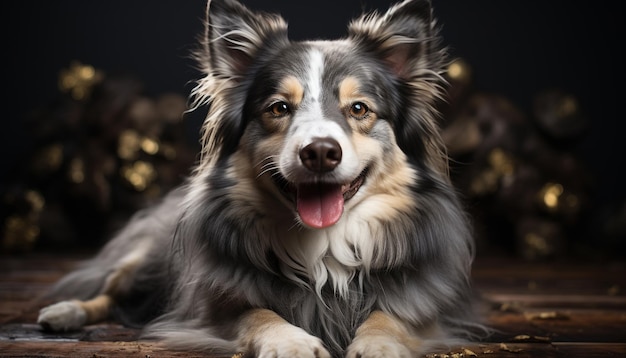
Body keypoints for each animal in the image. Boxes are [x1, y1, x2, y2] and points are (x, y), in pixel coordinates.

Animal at [36, 0, 482, 356]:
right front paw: (293, 343)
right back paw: (63, 312)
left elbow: (391, 316)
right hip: (148, 262)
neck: (322, 244)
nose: (320, 152)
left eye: (359, 108)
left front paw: (378, 345)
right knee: (109, 292)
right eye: (278, 108)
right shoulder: (211, 304)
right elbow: (257, 313)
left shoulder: (426, 305)